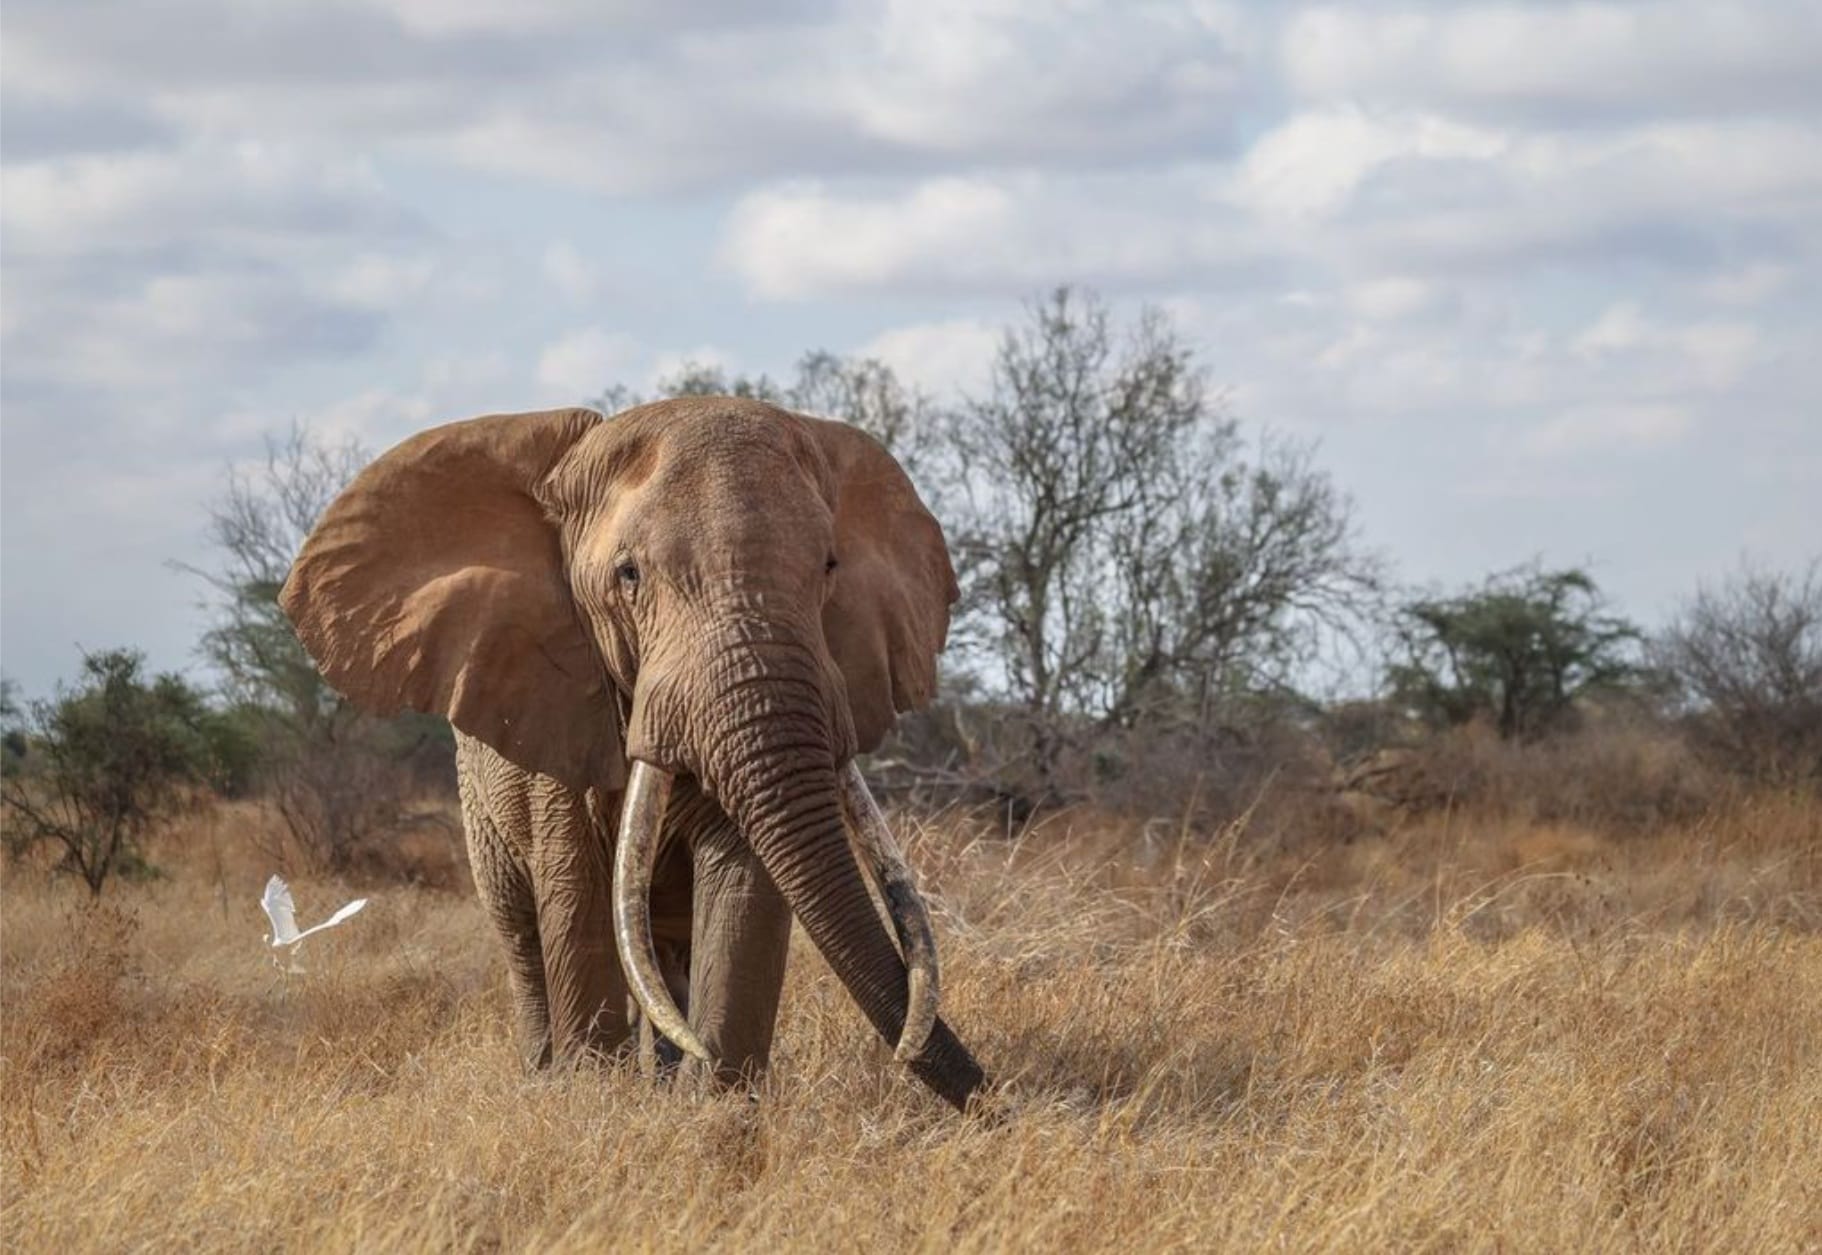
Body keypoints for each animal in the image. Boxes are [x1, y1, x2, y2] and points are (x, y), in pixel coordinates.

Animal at [279, 396, 987, 1110]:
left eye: (829, 568)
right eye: (629, 574)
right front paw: (594, 1098)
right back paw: (547, 1074)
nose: (994, 1100)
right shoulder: (553, 711)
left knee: (664, 950)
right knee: (524, 935)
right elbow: (575, 887)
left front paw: (714, 1107)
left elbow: (743, 885)